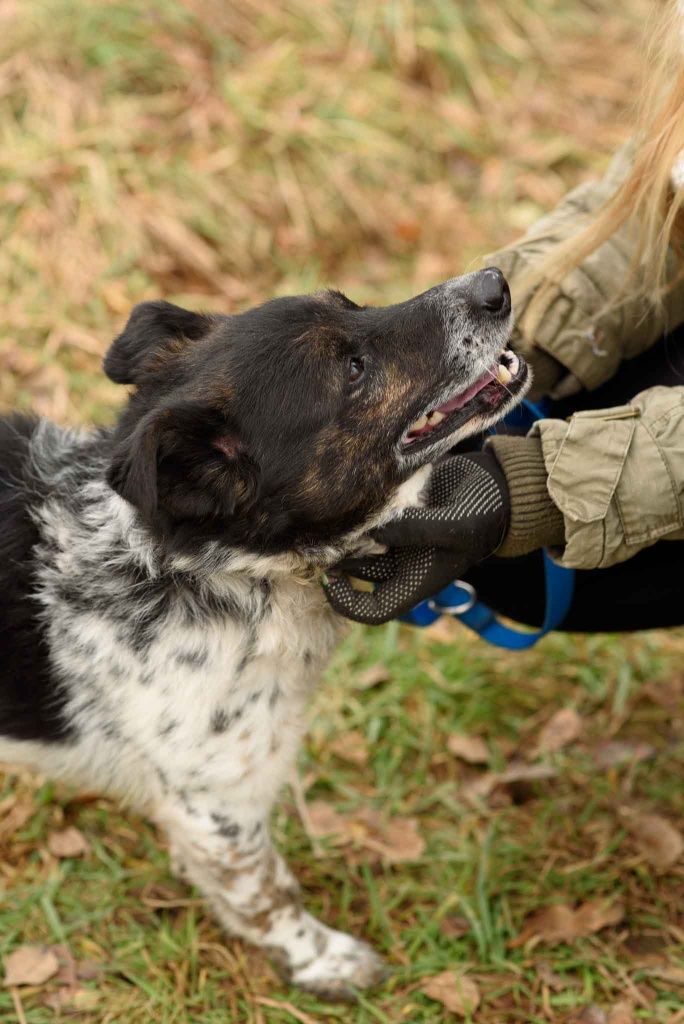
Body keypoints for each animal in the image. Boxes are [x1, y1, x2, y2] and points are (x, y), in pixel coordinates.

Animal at [0, 266, 528, 999]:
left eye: (352, 303)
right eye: (353, 369)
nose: (494, 282)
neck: (204, 571)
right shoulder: (216, 804)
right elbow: (266, 893)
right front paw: (322, 960)